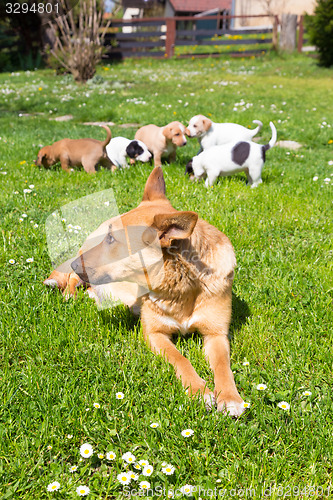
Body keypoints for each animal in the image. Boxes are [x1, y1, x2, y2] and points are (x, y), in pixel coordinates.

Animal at [44, 168, 244, 418]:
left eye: (112, 239)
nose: (75, 265)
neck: (179, 284)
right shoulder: (154, 334)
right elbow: (180, 359)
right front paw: (199, 390)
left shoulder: (216, 334)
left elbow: (223, 366)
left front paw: (230, 397)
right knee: (72, 279)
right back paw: (69, 292)